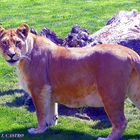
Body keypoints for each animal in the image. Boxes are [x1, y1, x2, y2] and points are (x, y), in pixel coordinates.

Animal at [0, 23, 140, 139]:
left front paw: (38, 130)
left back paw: (107, 138)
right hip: (134, 92)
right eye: (4, 43)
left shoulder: (38, 89)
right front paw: (50, 125)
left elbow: (40, 112)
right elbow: (51, 109)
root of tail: (131, 53)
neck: (24, 58)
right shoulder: (48, 90)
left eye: (18, 42)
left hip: (110, 94)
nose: (11, 55)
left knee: (121, 121)